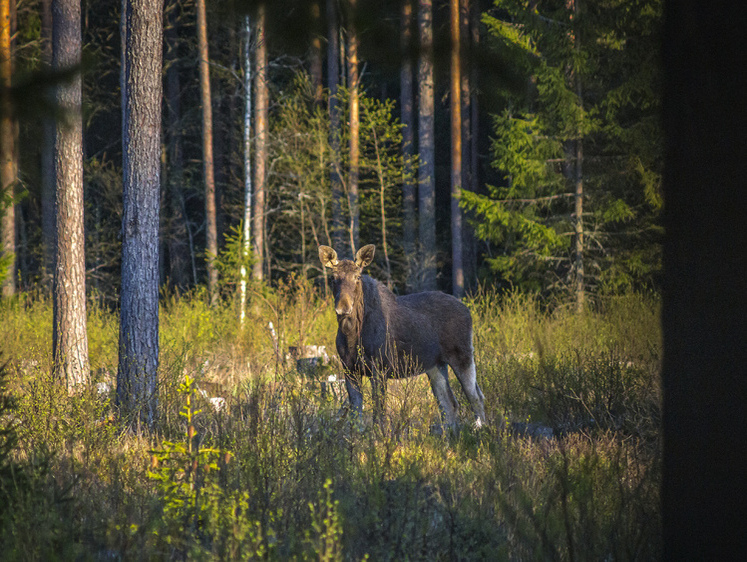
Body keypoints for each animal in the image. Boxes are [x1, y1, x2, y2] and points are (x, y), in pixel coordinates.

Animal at [320, 243, 486, 426]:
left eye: (358, 277)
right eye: (333, 278)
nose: (343, 307)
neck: (351, 334)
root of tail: (468, 310)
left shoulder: (379, 369)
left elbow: (379, 415)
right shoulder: (350, 369)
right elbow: (356, 416)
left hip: (462, 355)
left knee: (476, 397)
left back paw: (480, 429)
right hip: (435, 365)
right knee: (449, 403)